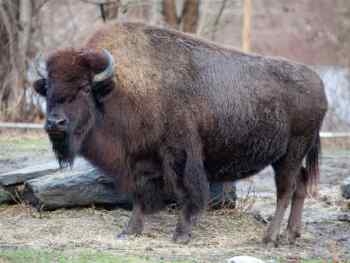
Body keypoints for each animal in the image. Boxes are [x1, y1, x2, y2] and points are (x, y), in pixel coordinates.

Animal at [33, 21, 328, 246]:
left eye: (84, 88)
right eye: (48, 88)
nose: (55, 123)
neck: (121, 88)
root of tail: (318, 82)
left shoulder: (180, 155)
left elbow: (187, 193)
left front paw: (181, 235)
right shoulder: (139, 159)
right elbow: (139, 195)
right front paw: (129, 231)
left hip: (291, 153)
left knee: (285, 190)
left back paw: (269, 238)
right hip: (287, 156)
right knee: (300, 184)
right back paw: (291, 235)